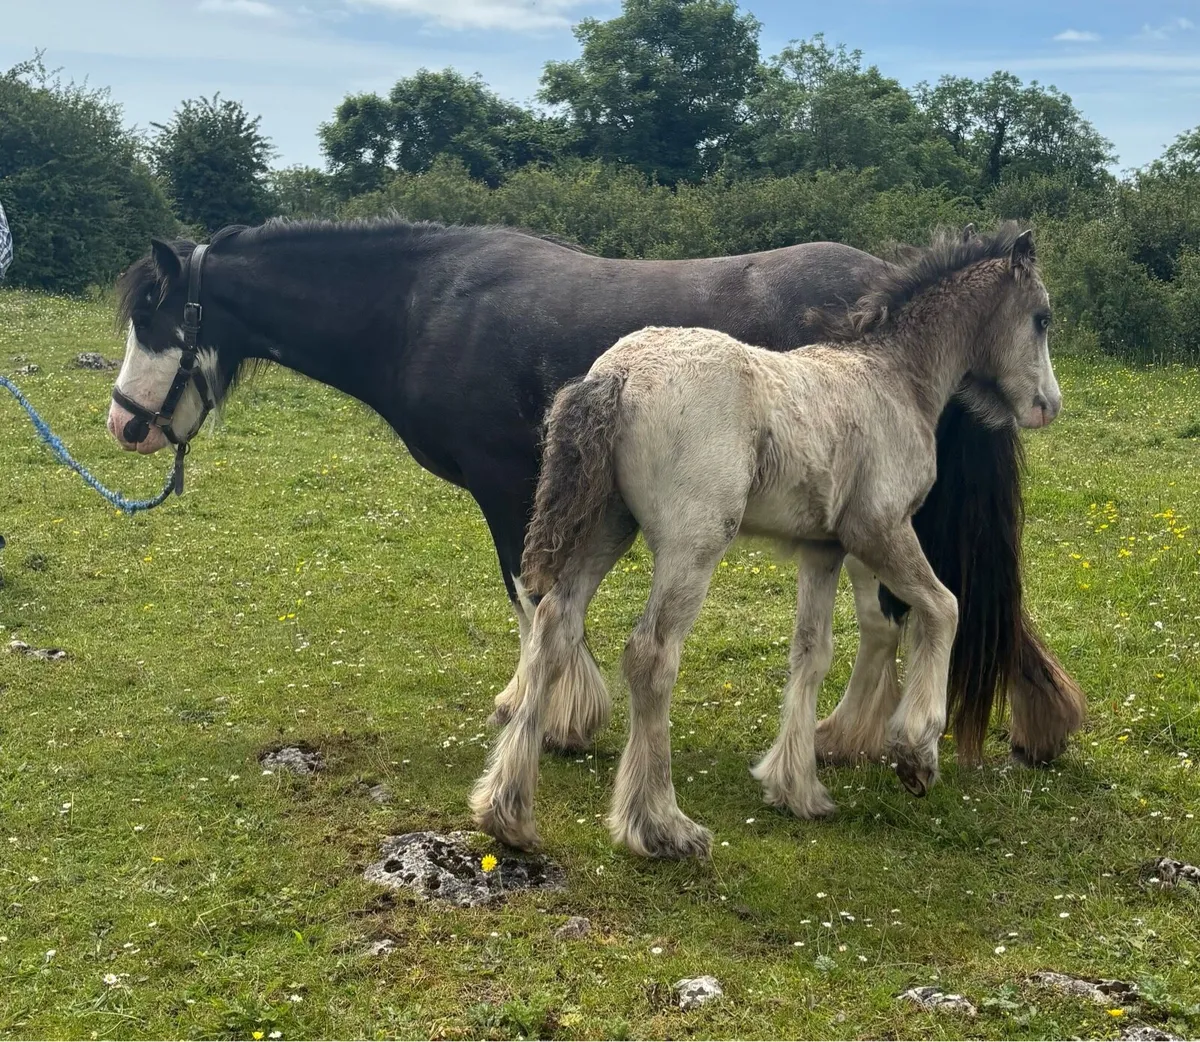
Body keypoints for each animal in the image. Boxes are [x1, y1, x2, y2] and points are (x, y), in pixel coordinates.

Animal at [105, 218, 1083, 767]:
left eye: (153, 312)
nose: (124, 423)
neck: (425, 305)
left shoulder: (509, 485)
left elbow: (532, 595)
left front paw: (557, 712)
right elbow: (547, 599)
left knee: (915, 610)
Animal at [472, 225, 1061, 859]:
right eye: (1042, 318)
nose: (1048, 406)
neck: (894, 379)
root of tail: (616, 375)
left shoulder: (824, 549)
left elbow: (812, 651)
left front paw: (796, 788)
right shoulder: (879, 528)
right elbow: (944, 606)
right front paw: (916, 751)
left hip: (607, 528)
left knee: (555, 626)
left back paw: (507, 812)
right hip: (693, 543)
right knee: (651, 655)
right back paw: (660, 825)